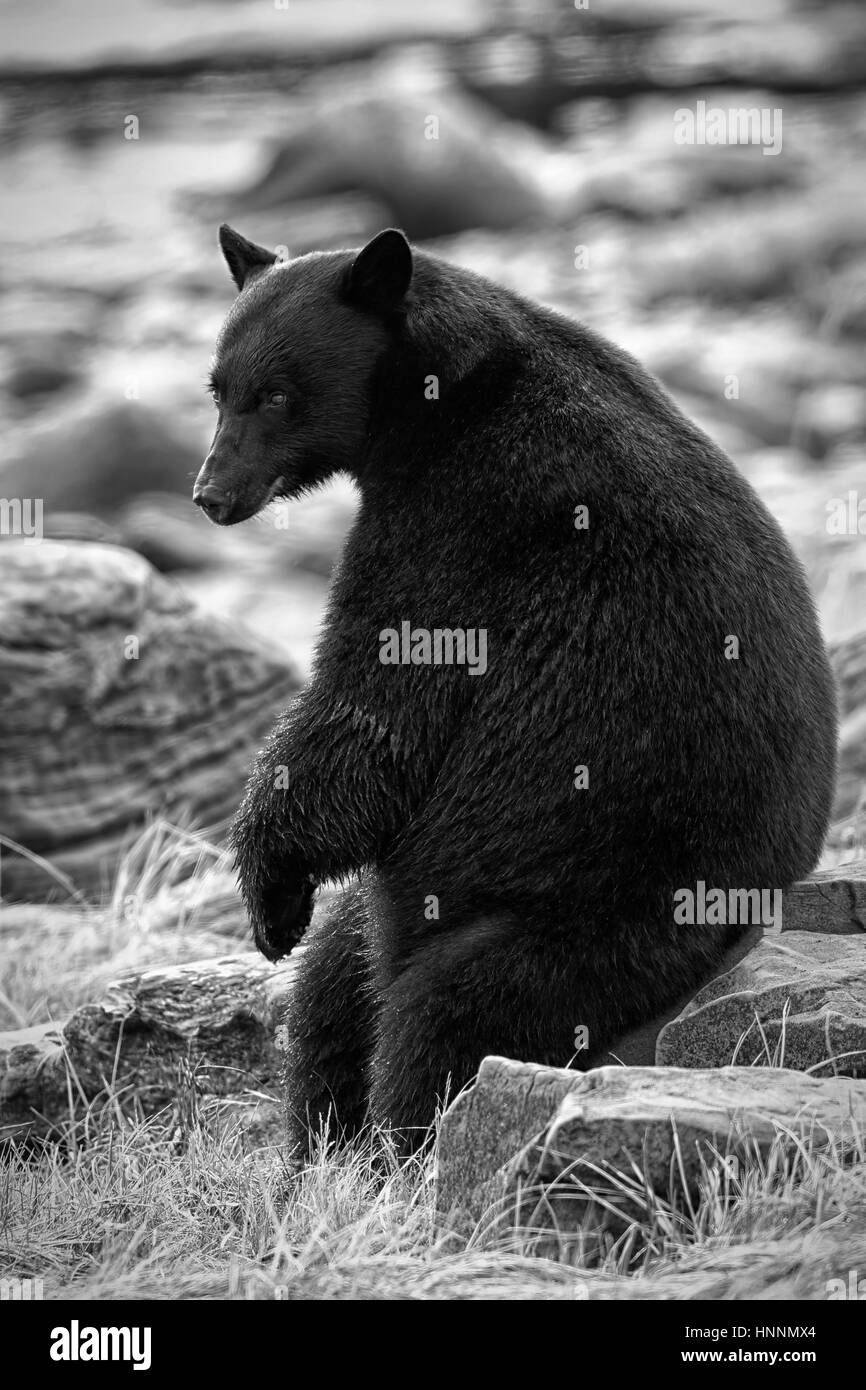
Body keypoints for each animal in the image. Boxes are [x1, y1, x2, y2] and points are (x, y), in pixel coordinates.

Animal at [195, 223, 838, 1153]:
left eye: (277, 395)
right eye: (217, 389)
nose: (210, 494)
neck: (443, 395)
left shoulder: (458, 521)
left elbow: (379, 706)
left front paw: (268, 887)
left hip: (595, 911)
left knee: (444, 1015)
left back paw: (401, 1145)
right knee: (334, 986)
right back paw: (320, 1149)